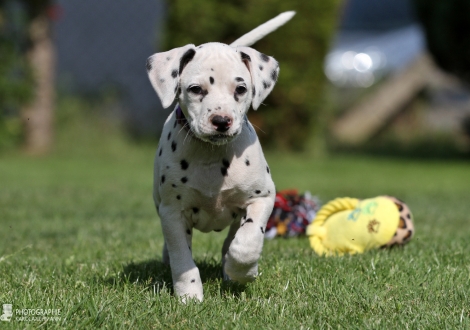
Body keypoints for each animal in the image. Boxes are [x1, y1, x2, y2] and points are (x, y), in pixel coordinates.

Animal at [147, 10, 294, 302]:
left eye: (241, 89)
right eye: (195, 89)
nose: (222, 121)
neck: (211, 155)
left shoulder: (262, 198)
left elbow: (247, 241)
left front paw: (242, 271)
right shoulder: (172, 213)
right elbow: (182, 258)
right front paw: (189, 294)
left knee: (233, 237)